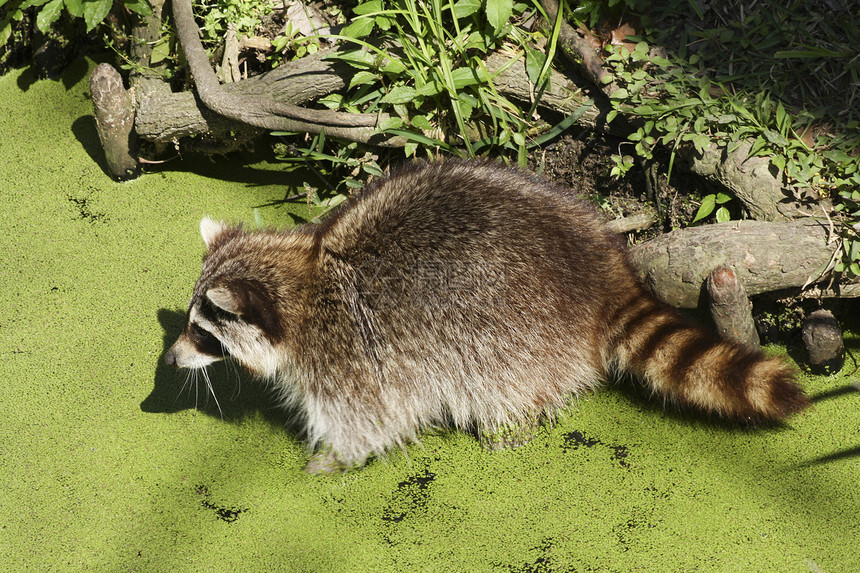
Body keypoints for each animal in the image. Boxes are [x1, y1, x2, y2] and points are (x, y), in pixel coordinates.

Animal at [165, 159, 808, 472]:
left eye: (202, 332)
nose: (170, 359)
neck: (305, 274)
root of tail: (602, 269)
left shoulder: (351, 357)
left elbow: (370, 421)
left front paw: (331, 459)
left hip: (507, 327)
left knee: (503, 379)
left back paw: (514, 419)